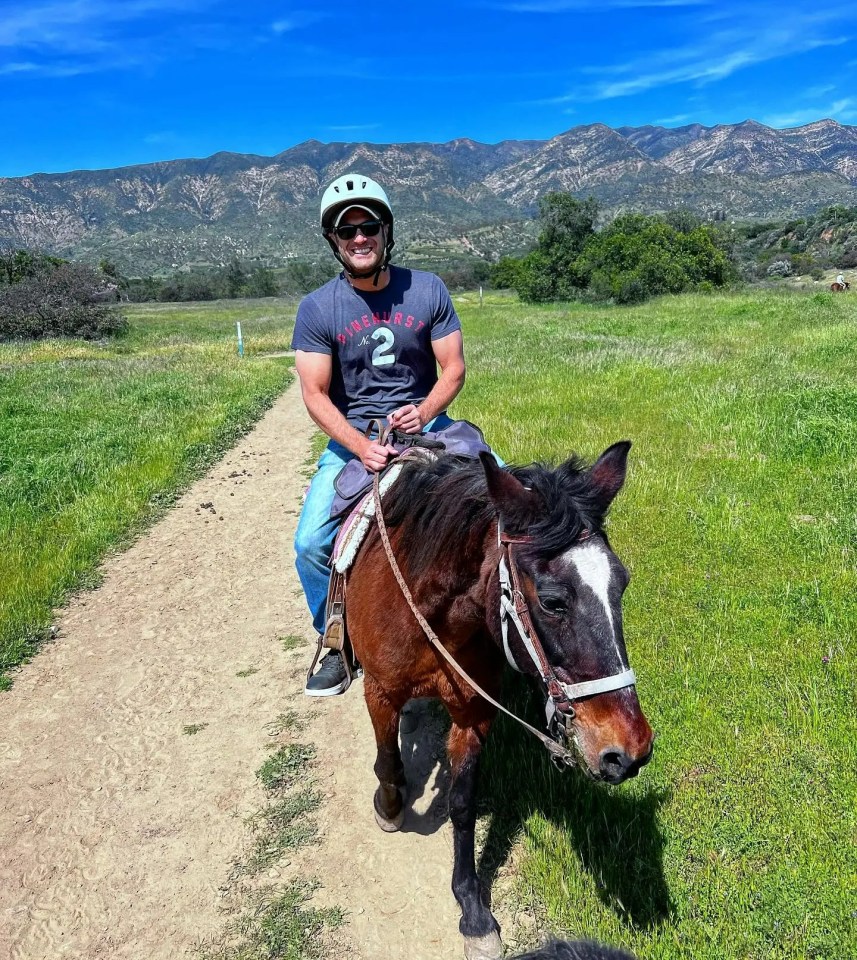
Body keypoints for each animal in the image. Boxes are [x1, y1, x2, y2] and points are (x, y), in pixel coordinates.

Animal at [344, 444, 652, 960]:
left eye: (622, 584)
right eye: (552, 601)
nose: (630, 750)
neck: (429, 615)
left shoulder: (473, 714)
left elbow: (463, 804)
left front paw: (472, 909)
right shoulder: (379, 692)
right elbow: (388, 760)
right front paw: (389, 808)